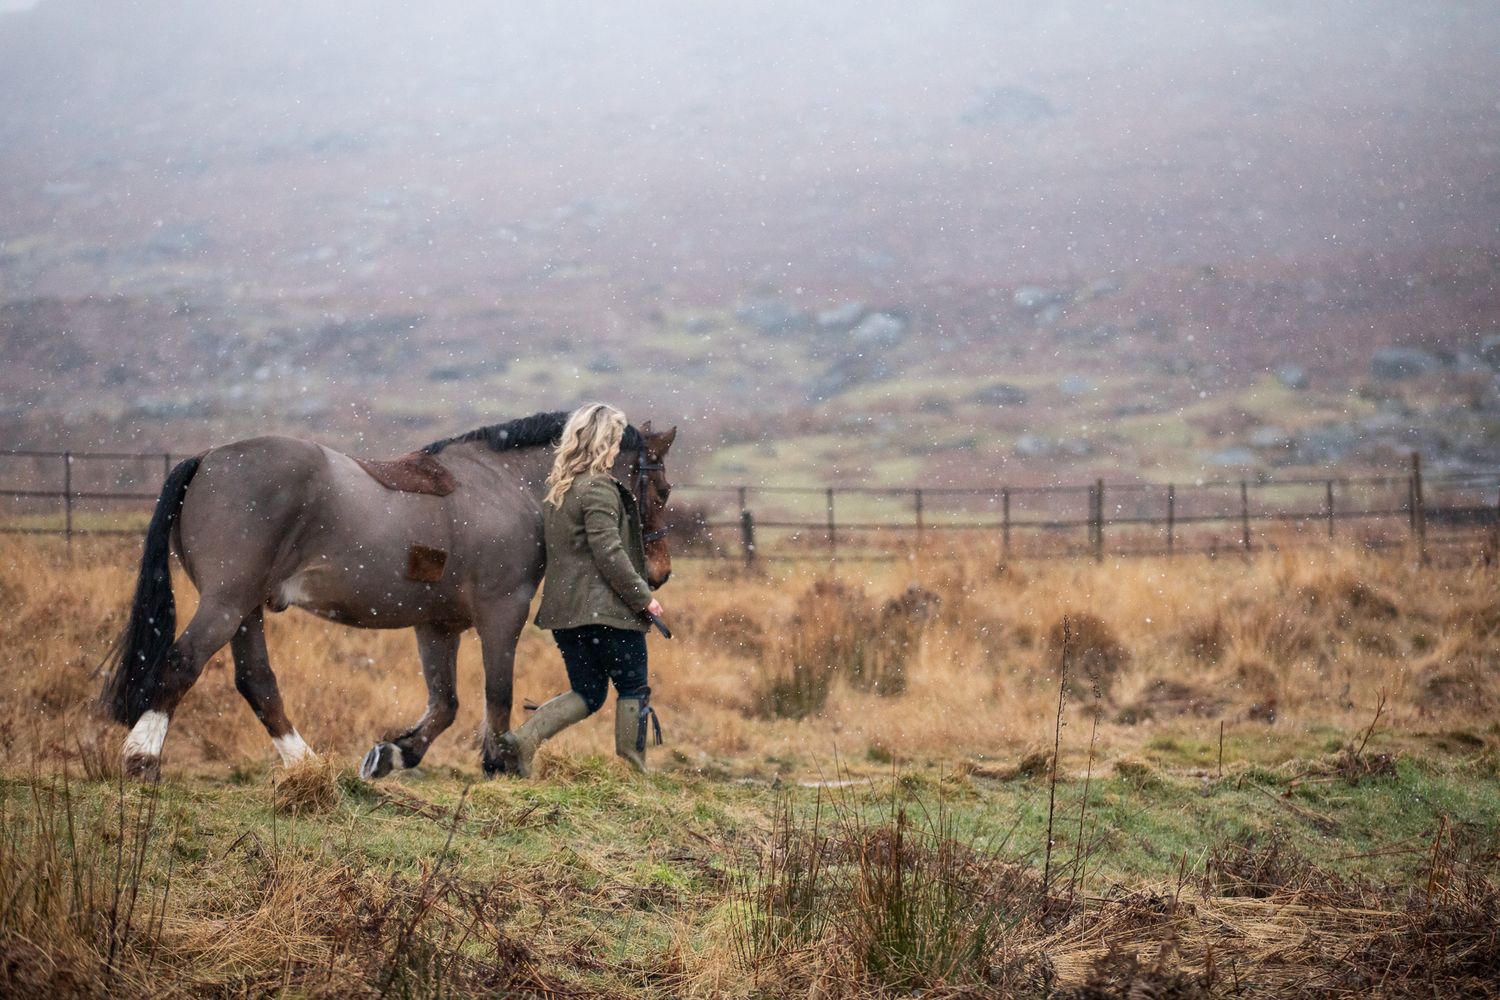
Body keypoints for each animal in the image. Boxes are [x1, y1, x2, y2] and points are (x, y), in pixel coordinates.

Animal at [98, 411, 676, 780]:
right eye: (663, 489)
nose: (661, 573)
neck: (503, 487)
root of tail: (206, 458)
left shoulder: (437, 626)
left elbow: (444, 704)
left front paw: (394, 754)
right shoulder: (501, 614)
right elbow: (497, 694)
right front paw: (498, 762)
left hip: (245, 611)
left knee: (257, 681)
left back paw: (305, 765)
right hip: (226, 603)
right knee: (183, 662)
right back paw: (141, 758)